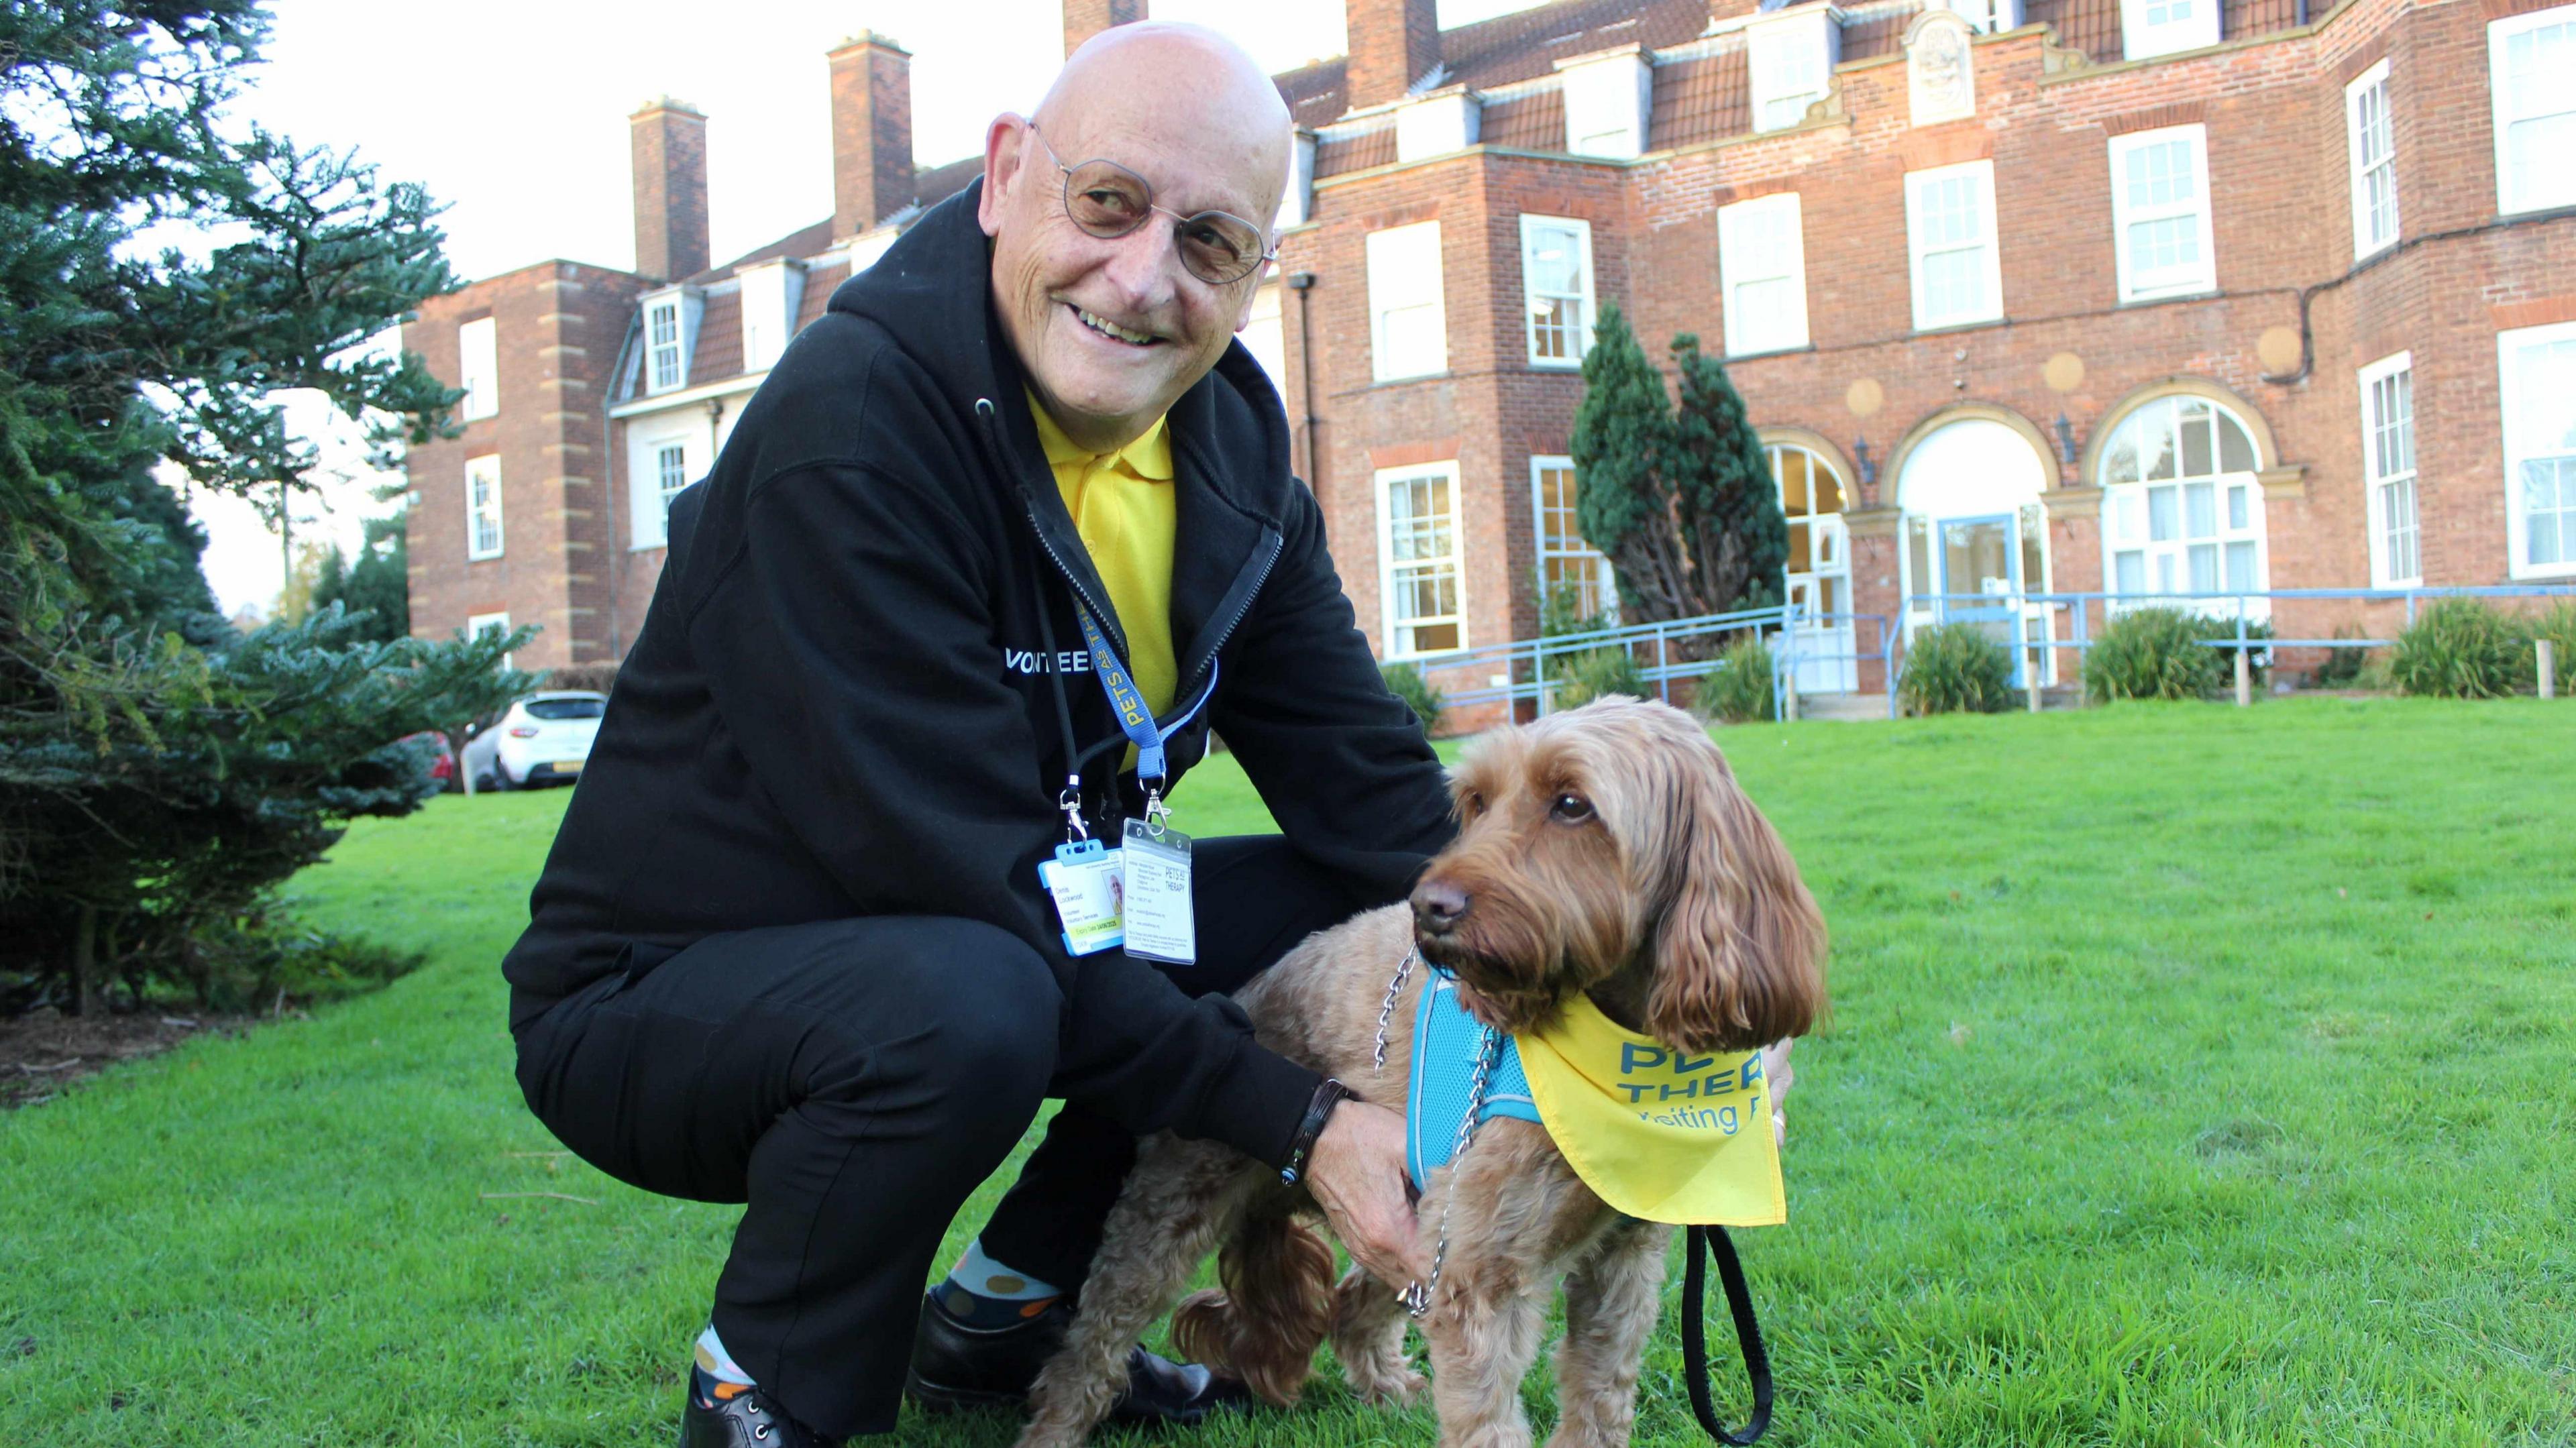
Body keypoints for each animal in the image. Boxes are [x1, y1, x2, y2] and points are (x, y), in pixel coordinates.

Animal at [1010, 695, 1834, 1432]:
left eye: (1572, 803)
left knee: (1348, 1306)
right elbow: (1490, 1419)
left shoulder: (1622, 1264)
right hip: (1181, 1201)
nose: (1427, 905)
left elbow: (1601, 1402)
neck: (1617, 1054)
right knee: (1084, 1358)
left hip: (1413, 1217)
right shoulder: (1481, 1279)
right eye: (1476, 800)